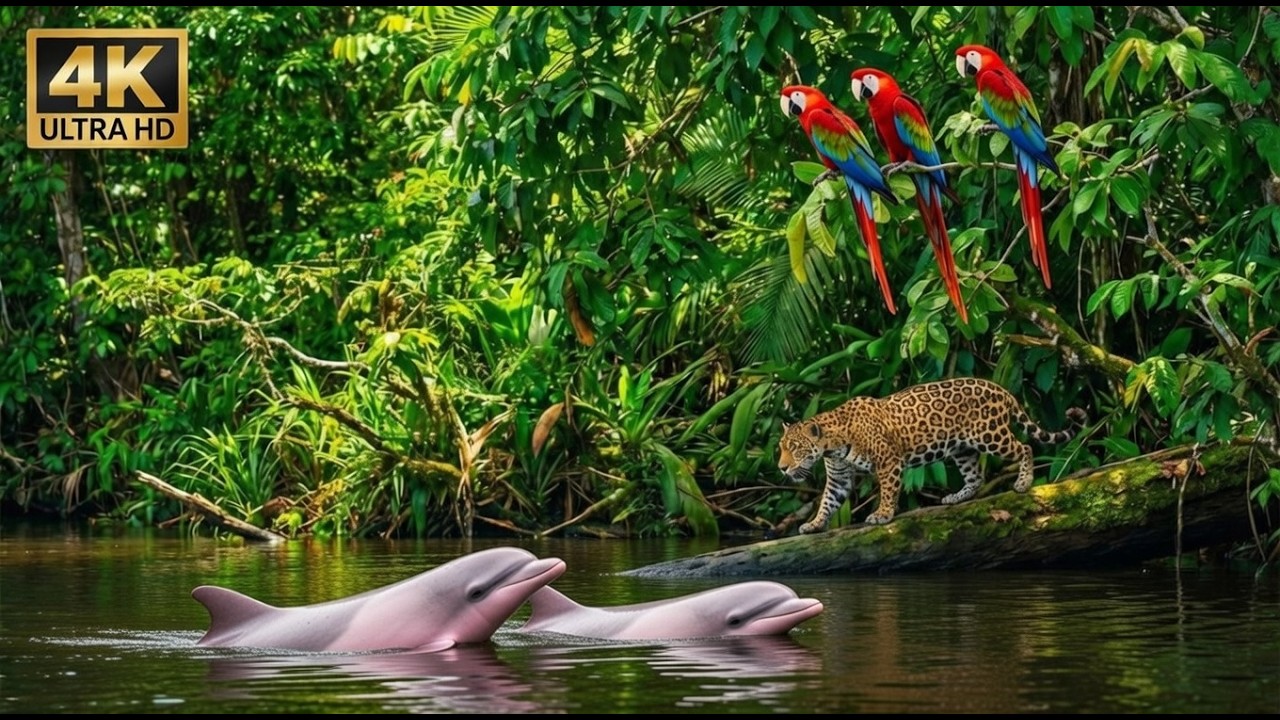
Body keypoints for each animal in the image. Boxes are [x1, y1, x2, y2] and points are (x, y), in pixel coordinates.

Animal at [777, 377, 1087, 533]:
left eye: (795, 448)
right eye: (781, 447)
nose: (781, 468)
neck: (834, 442)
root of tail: (1000, 388)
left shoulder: (888, 462)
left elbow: (888, 491)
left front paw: (883, 515)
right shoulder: (839, 476)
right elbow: (827, 501)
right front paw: (814, 523)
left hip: (990, 435)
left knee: (1026, 447)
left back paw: (1023, 482)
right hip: (962, 448)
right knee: (975, 476)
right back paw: (956, 497)